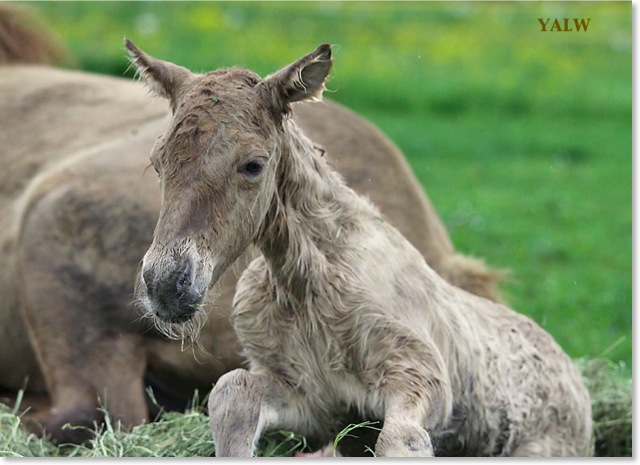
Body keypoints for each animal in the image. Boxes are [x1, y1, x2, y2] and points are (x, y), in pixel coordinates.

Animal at [127, 41, 592, 454]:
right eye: (158, 162)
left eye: (253, 165)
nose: (165, 283)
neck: (307, 287)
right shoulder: (312, 401)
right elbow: (231, 395)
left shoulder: (420, 375)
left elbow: (401, 441)